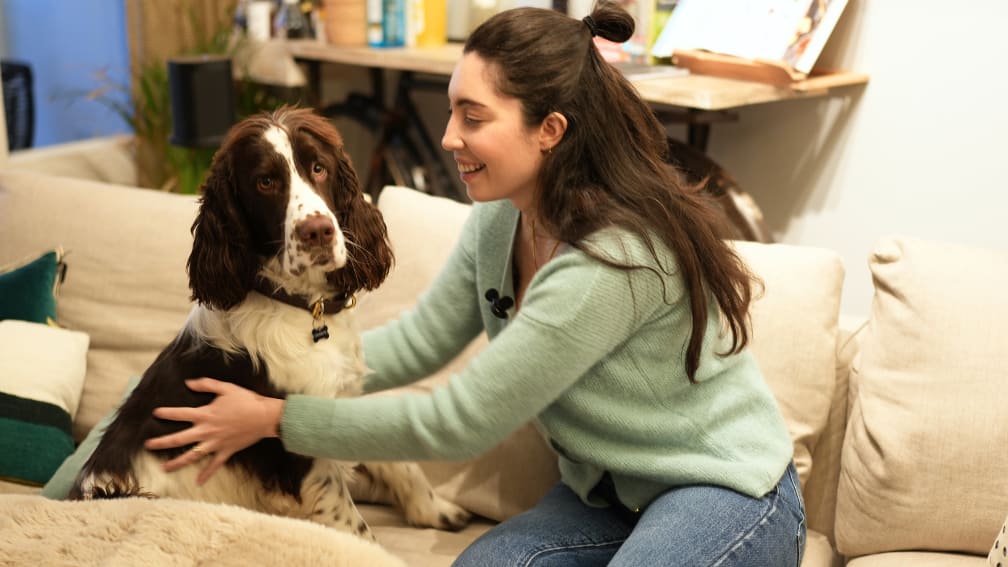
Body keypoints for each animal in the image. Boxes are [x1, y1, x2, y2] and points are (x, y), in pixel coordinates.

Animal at [71, 104, 471, 536]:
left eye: (318, 167)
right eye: (265, 182)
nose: (318, 232)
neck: (302, 306)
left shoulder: (335, 405)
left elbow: (398, 459)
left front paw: (435, 509)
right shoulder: (297, 456)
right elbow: (352, 525)